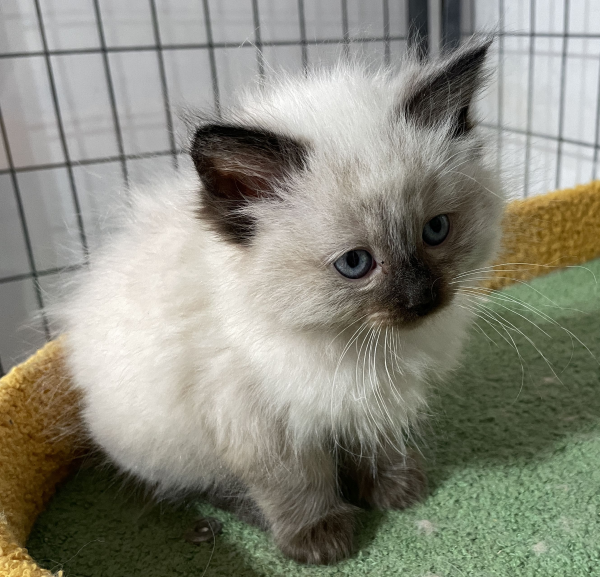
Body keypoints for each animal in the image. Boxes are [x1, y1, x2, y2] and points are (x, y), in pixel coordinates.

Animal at [59, 38, 502, 564]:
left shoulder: (367, 402)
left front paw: (394, 489)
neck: (355, 342)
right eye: (355, 263)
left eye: (435, 230)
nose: (423, 299)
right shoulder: (262, 423)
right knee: (195, 487)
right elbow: (297, 486)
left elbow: (377, 449)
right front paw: (321, 539)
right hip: (168, 446)